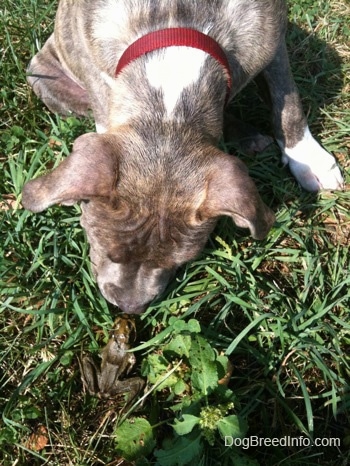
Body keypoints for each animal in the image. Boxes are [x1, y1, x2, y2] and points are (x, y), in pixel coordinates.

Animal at [22, 0, 344, 314]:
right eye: (103, 248)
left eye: (180, 262)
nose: (130, 307)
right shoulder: (99, 81)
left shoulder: (272, 43)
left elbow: (287, 101)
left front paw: (310, 160)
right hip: (44, 79)